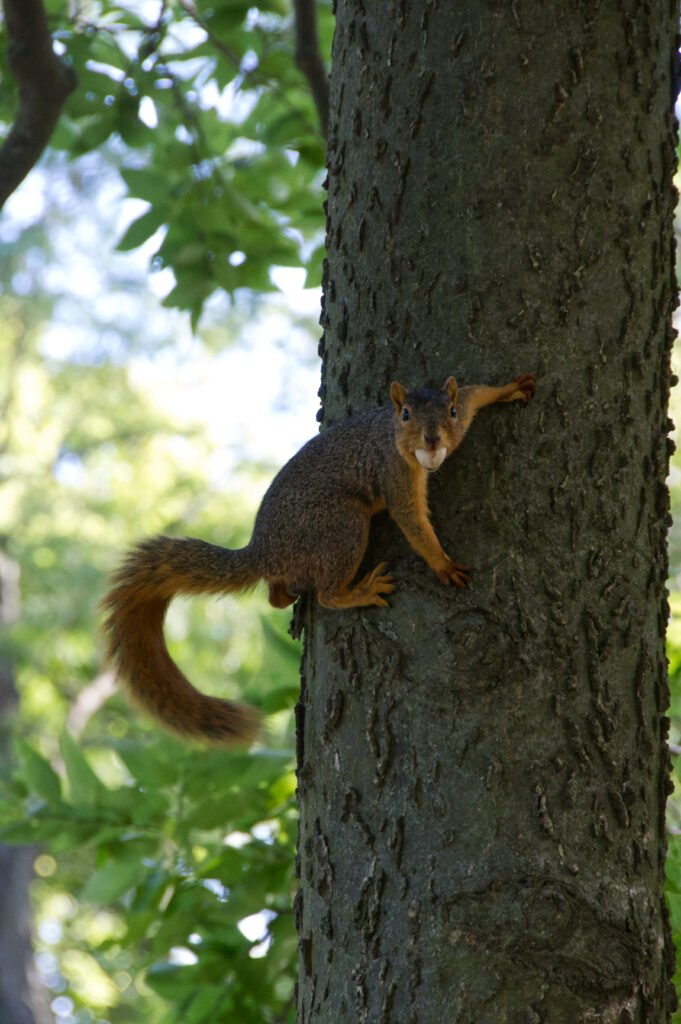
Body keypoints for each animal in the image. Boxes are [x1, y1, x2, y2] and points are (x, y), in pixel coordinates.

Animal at [102, 372, 535, 744]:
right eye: (406, 415)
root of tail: (263, 551)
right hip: (342, 526)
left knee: (276, 593)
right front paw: (443, 564)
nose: (431, 441)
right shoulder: (393, 474)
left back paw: (287, 594)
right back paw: (359, 590)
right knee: (327, 594)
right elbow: (413, 523)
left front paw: (510, 389)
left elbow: (476, 393)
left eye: (451, 412)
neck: (391, 435)